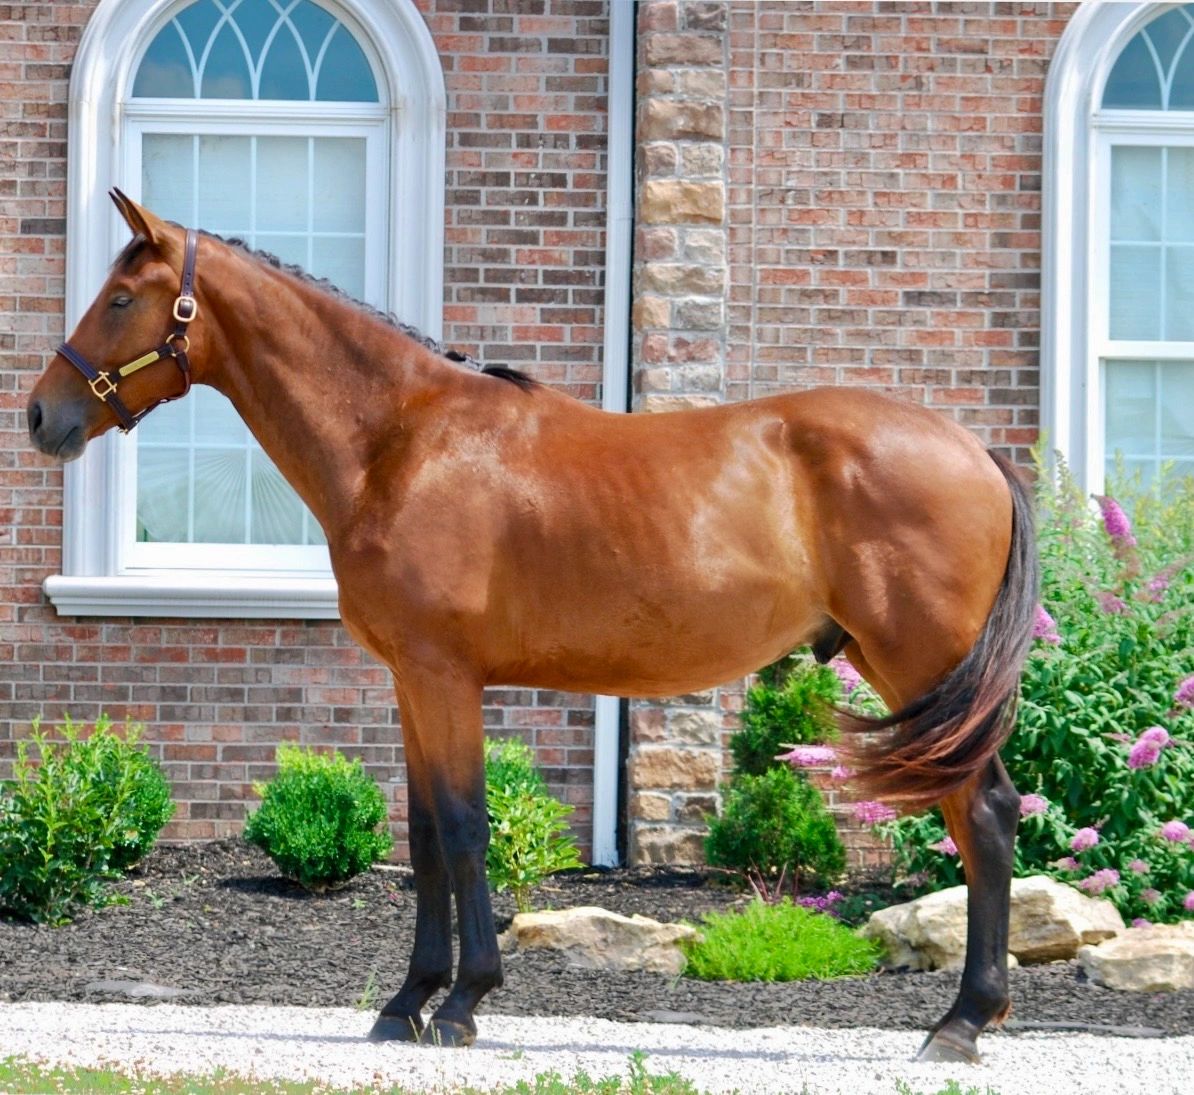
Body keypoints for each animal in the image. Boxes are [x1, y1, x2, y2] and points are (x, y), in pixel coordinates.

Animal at [27, 191, 1037, 1063]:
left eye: (121, 298)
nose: (43, 413)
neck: (400, 442)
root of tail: (977, 451)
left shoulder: (445, 674)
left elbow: (465, 827)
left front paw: (463, 1002)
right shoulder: (410, 680)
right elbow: (425, 835)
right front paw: (406, 1002)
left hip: (921, 663)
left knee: (984, 813)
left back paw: (960, 1022)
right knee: (976, 813)